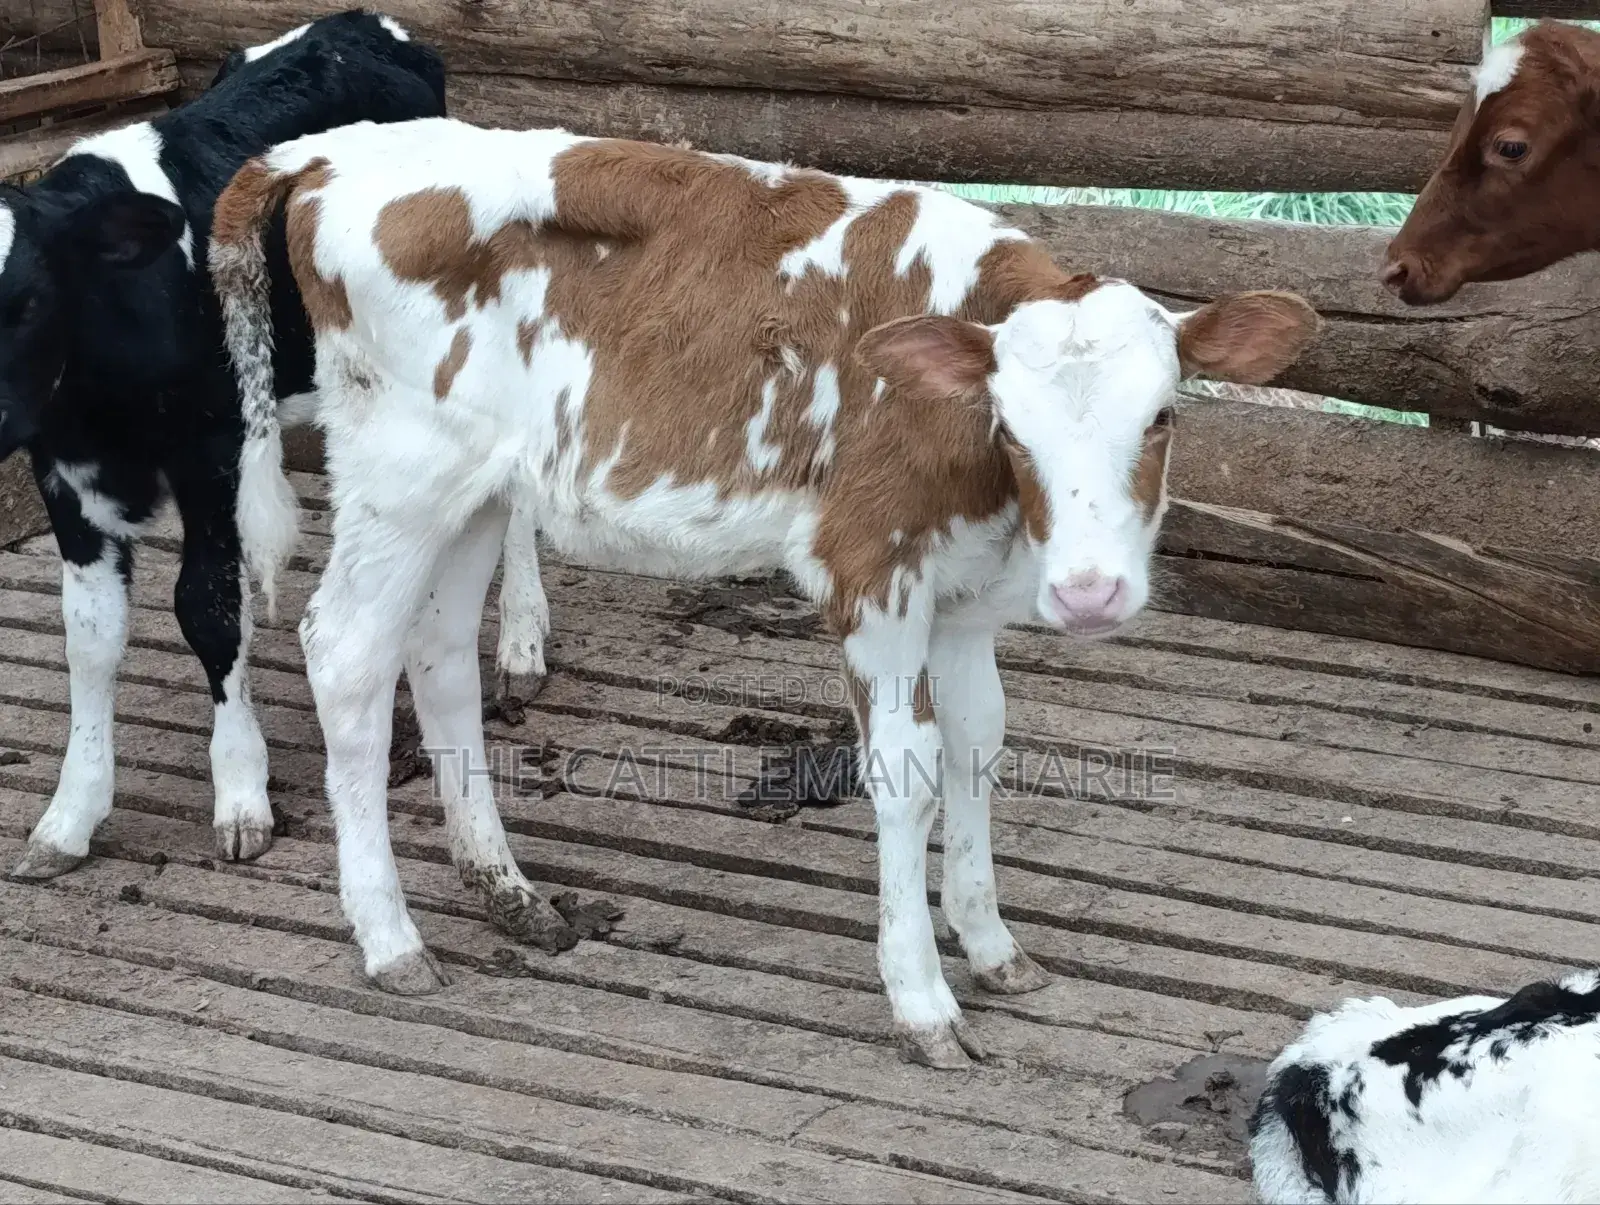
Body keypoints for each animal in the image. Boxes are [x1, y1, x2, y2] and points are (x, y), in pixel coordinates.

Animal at [209, 119, 1319, 1063]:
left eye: (1164, 415)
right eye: (1011, 425)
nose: (1092, 591)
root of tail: (330, 151)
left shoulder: (960, 597)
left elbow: (979, 747)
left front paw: (993, 944)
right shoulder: (868, 566)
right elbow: (908, 770)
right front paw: (922, 997)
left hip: (474, 489)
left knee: (437, 655)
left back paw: (506, 888)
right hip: (400, 472)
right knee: (346, 653)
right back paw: (389, 936)